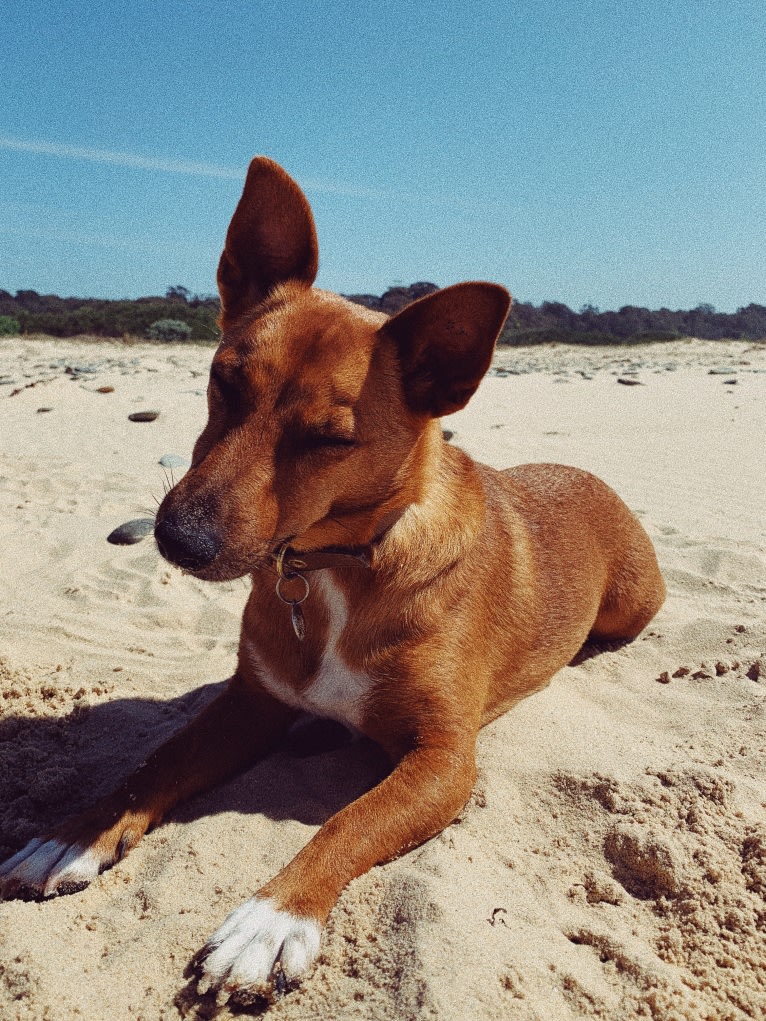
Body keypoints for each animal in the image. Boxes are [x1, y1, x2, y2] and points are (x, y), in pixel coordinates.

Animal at [0, 157, 665, 1004]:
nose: (179, 540)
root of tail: (586, 472)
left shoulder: (444, 758)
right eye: (224, 381)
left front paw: (270, 919)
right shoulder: (247, 705)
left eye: (327, 439)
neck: (334, 570)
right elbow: (152, 765)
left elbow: (347, 820)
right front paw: (71, 834)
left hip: (632, 605)